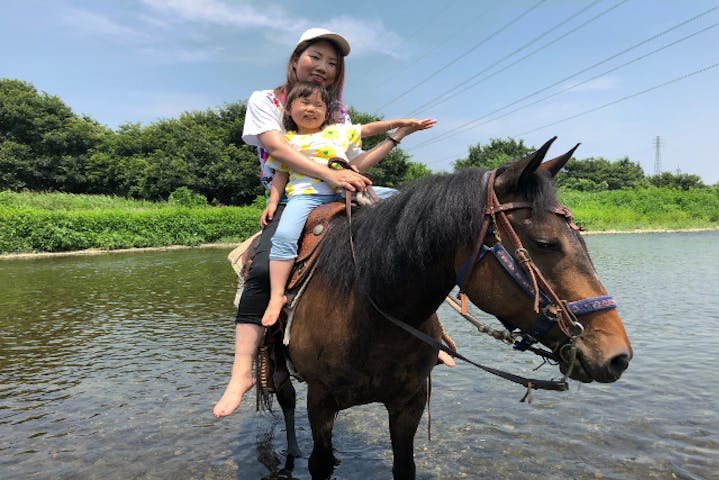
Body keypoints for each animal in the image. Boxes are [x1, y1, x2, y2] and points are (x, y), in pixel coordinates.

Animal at [272, 137, 632, 478]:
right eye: (545, 243)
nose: (618, 356)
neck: (370, 314)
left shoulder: (410, 403)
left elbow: (405, 466)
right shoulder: (320, 402)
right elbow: (320, 462)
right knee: (286, 399)